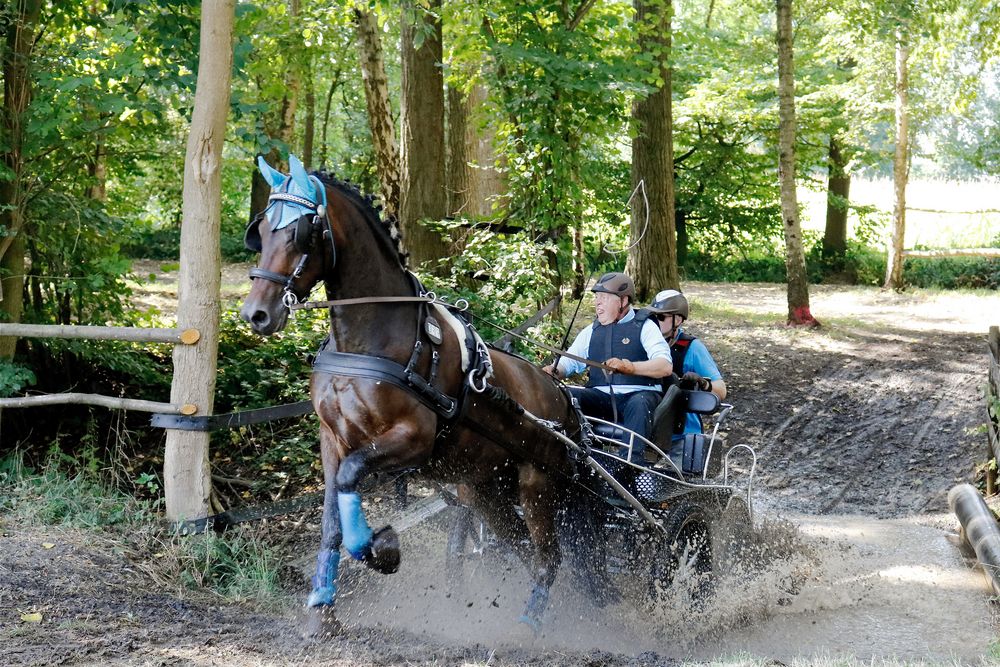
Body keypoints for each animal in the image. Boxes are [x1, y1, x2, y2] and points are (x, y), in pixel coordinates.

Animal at [239, 155, 604, 636]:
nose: (256, 314)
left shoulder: (414, 439)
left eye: (301, 231)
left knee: (548, 559)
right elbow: (332, 521)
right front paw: (322, 611)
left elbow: (352, 480)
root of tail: (564, 398)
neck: (371, 340)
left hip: (536, 484)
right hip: (486, 489)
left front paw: (382, 548)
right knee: (525, 549)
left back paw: (527, 627)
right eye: (260, 231)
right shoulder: (332, 439)